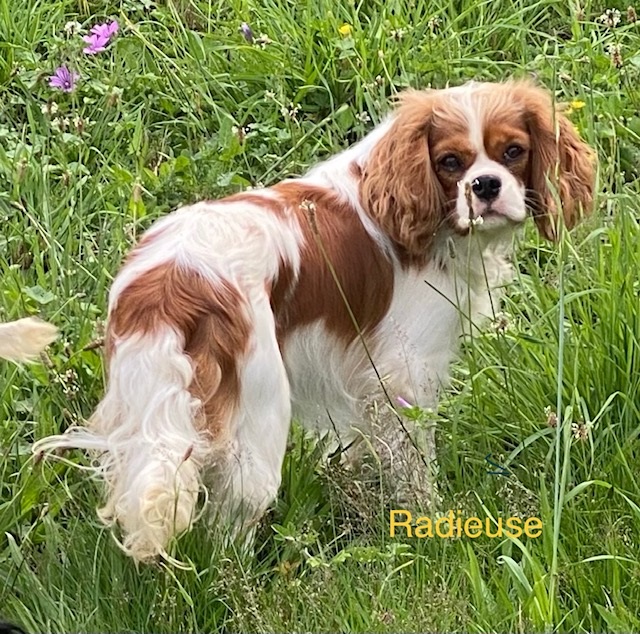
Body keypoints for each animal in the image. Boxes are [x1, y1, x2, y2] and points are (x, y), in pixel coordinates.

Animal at [33, 79, 596, 556]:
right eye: (451, 162)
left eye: (513, 152)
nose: (485, 185)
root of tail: (172, 281)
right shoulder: (405, 373)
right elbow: (414, 459)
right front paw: (431, 519)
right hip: (258, 420)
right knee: (229, 526)